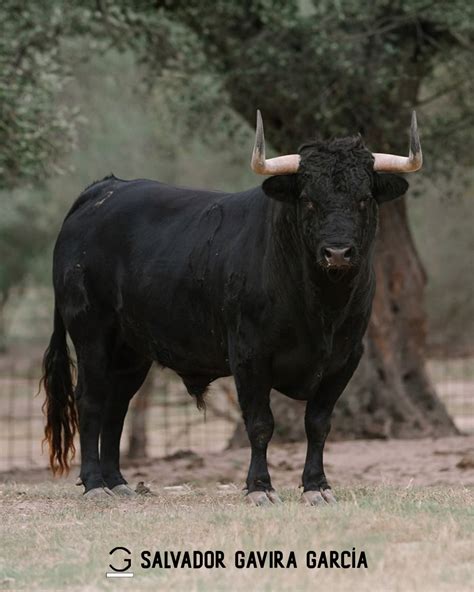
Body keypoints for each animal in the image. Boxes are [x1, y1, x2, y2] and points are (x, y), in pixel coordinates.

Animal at [42, 138, 410, 504]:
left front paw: (317, 486)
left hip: (130, 349)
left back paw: (118, 482)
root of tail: (105, 189)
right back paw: (95, 484)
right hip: (91, 332)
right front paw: (260, 488)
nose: (337, 252)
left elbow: (318, 423)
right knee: (90, 400)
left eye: (364, 198)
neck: (321, 310)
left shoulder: (344, 359)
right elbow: (260, 423)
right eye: (307, 199)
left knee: (116, 406)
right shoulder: (249, 355)